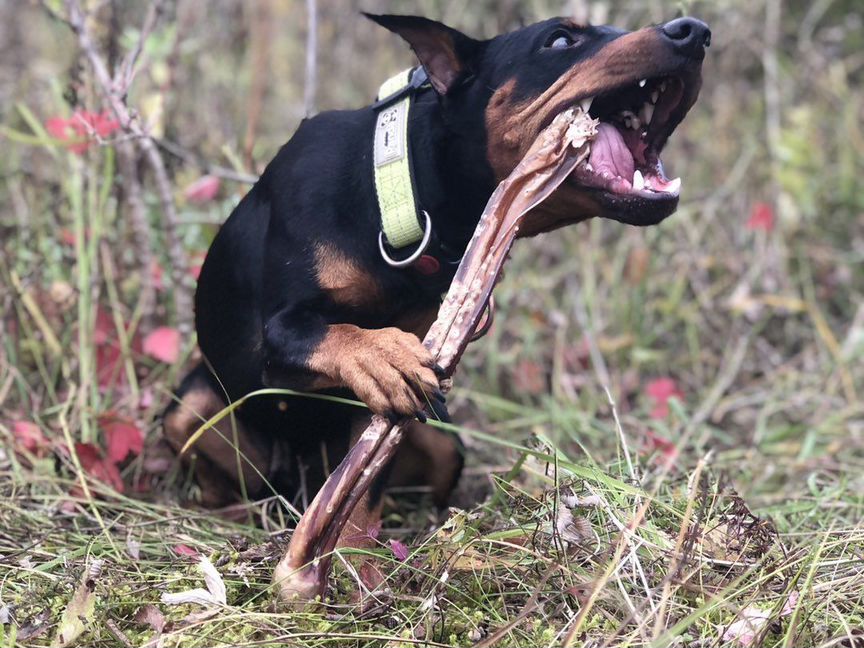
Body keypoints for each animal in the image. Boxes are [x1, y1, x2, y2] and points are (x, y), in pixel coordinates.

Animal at [164, 12, 708, 548]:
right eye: (558, 40)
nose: (694, 32)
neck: (398, 197)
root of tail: (294, 477)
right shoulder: (275, 338)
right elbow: (335, 333)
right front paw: (381, 353)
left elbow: (363, 491)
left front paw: (352, 560)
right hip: (192, 408)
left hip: (443, 438)